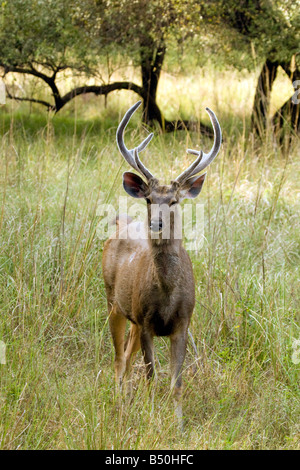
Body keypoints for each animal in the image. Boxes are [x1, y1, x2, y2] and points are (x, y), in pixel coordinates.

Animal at [102, 100, 221, 426]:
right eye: (149, 199)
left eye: (174, 201)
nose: (156, 223)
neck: (167, 296)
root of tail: (120, 222)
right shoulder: (146, 322)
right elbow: (152, 378)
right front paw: (152, 417)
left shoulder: (182, 323)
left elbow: (176, 383)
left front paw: (178, 424)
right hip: (113, 302)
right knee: (119, 360)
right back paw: (119, 402)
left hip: (131, 315)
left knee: (126, 357)